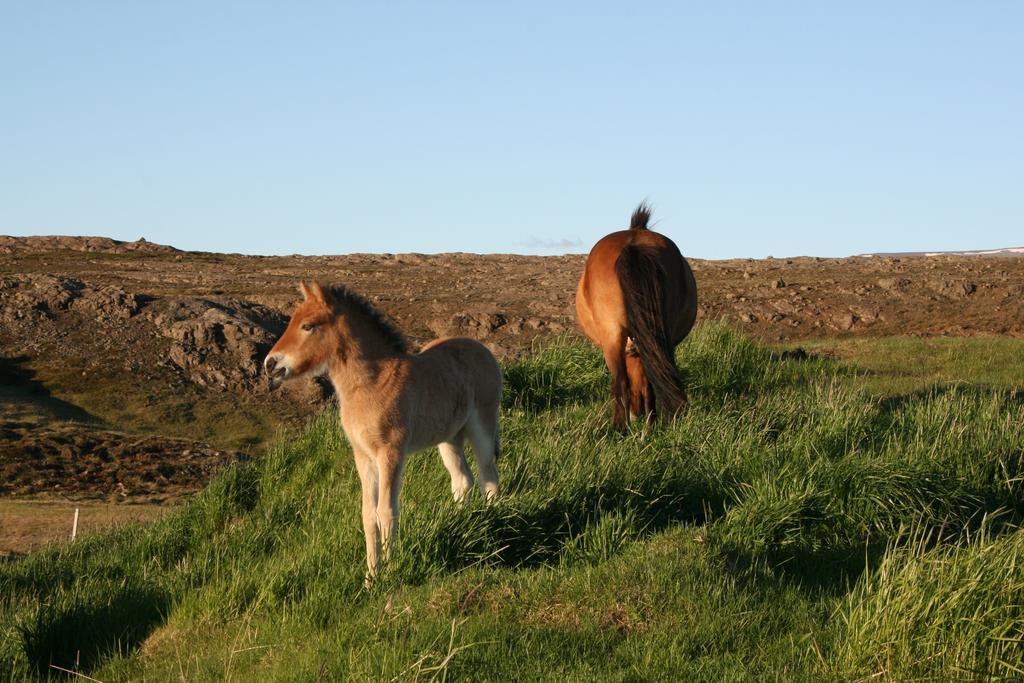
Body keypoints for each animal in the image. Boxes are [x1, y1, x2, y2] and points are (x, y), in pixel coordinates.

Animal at [266, 282, 501, 577]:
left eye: (308, 325)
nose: (270, 364)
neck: (372, 383)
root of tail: (483, 350)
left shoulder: (390, 453)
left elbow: (386, 510)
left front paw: (391, 572)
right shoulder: (363, 456)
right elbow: (368, 514)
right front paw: (371, 576)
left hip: (482, 425)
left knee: (489, 476)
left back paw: (493, 523)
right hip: (449, 438)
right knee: (462, 479)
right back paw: (461, 523)